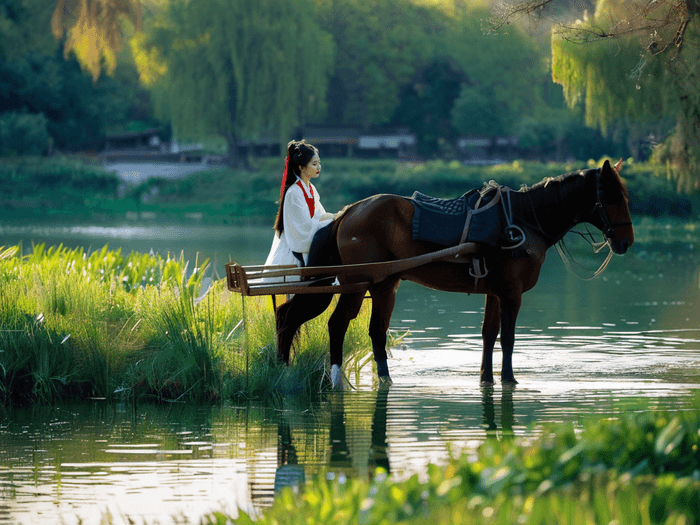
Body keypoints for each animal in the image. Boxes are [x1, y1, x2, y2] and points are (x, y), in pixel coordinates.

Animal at [274, 158, 636, 386]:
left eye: (626, 196)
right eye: (611, 196)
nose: (626, 241)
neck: (522, 220)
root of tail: (349, 211)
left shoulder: (495, 292)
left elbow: (489, 336)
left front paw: (487, 378)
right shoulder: (511, 293)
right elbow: (508, 338)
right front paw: (509, 379)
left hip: (384, 284)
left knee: (372, 331)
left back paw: (383, 378)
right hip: (355, 282)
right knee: (335, 324)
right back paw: (336, 378)